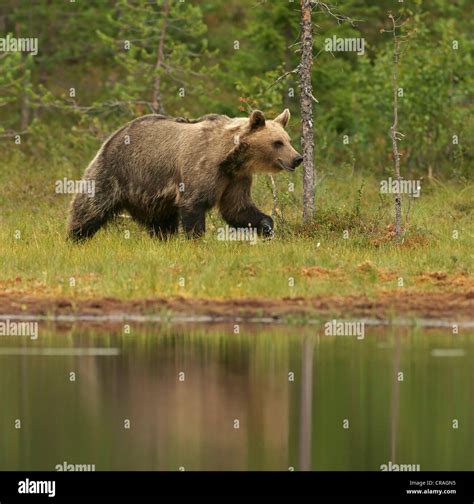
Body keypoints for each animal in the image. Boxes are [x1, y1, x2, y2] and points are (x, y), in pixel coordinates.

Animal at [67, 108, 300, 240]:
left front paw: (267, 227)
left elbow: (238, 208)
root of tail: (116, 133)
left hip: (153, 194)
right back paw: (75, 237)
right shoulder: (200, 168)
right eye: (277, 142)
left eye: (288, 140)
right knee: (90, 206)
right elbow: (193, 205)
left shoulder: (236, 178)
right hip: (116, 171)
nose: (298, 158)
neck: (230, 158)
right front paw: (196, 240)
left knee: (160, 222)